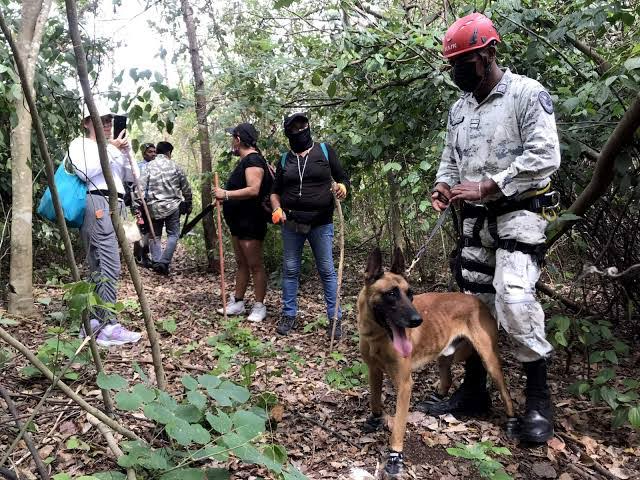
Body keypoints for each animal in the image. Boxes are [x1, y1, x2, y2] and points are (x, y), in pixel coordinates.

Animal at [358, 249, 516, 478]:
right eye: (391, 294)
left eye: (410, 294)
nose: (417, 321)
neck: (377, 336)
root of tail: (479, 302)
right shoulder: (374, 370)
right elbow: (374, 399)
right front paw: (375, 419)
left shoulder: (404, 385)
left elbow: (398, 426)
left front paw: (395, 457)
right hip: (443, 353)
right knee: (447, 379)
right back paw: (437, 399)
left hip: (490, 360)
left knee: (505, 392)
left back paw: (512, 420)